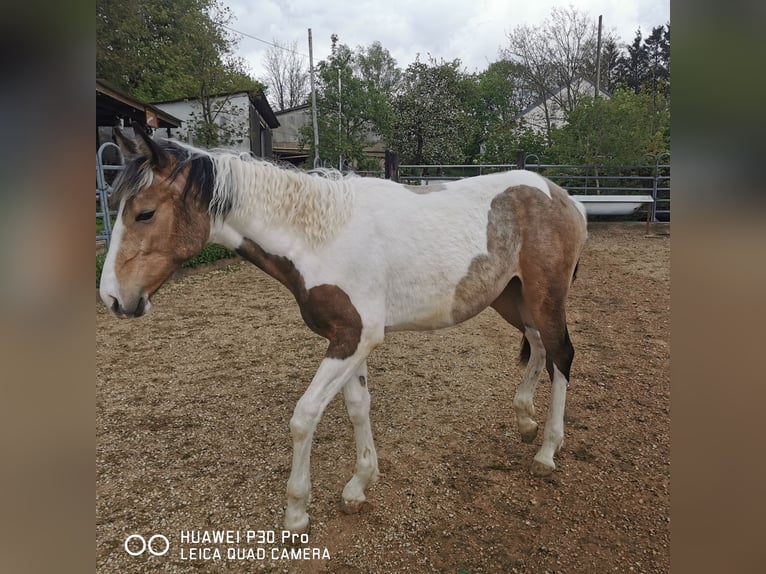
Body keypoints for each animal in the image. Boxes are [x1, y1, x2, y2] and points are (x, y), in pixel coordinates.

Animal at [99, 127, 588, 534]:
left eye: (144, 214)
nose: (113, 298)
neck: (319, 238)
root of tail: (563, 196)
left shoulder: (354, 338)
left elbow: (304, 416)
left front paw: (297, 512)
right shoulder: (349, 341)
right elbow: (357, 407)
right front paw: (359, 484)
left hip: (544, 297)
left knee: (561, 355)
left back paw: (547, 452)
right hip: (513, 298)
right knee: (539, 347)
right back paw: (525, 420)